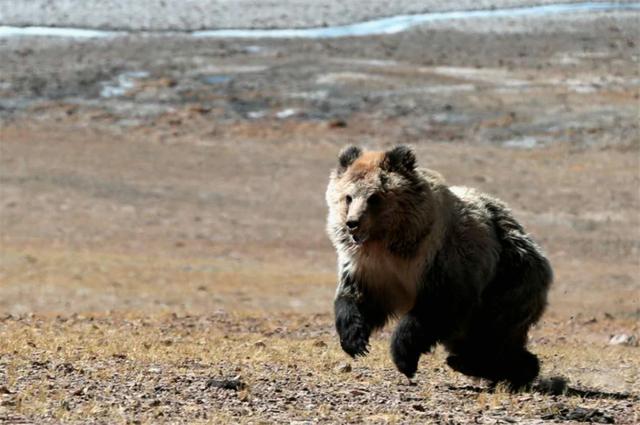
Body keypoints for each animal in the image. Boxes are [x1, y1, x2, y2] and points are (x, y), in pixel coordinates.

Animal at [328, 144, 552, 390]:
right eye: (348, 197)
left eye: (374, 197)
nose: (352, 223)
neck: (390, 244)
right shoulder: (370, 269)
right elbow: (358, 298)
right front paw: (355, 341)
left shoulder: (443, 261)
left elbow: (436, 307)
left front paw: (404, 358)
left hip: (507, 280)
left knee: (491, 336)